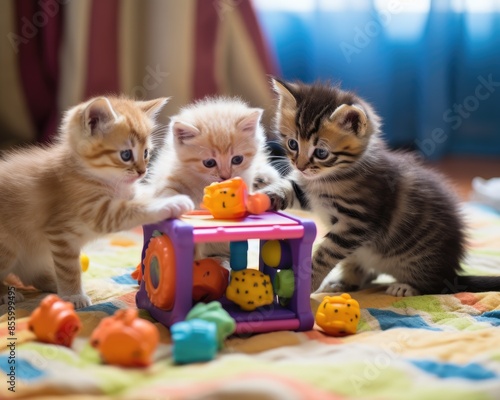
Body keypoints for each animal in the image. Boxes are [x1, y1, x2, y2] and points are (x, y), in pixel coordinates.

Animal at [0, 95, 194, 308]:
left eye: (146, 153)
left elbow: (143, 194)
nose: (143, 172)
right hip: (8, 246)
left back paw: (51, 282)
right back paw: (7, 293)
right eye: (126, 155)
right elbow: (70, 269)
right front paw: (73, 295)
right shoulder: (74, 226)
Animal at [264, 79, 498, 296]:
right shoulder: (311, 195)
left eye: (321, 153)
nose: (300, 166)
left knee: (435, 286)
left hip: (421, 260)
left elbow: (326, 253)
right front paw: (269, 195)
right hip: (360, 255)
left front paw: (306, 282)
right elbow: (292, 189)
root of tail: (452, 272)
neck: (328, 177)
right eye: (293, 144)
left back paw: (407, 287)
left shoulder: (357, 222)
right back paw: (343, 282)